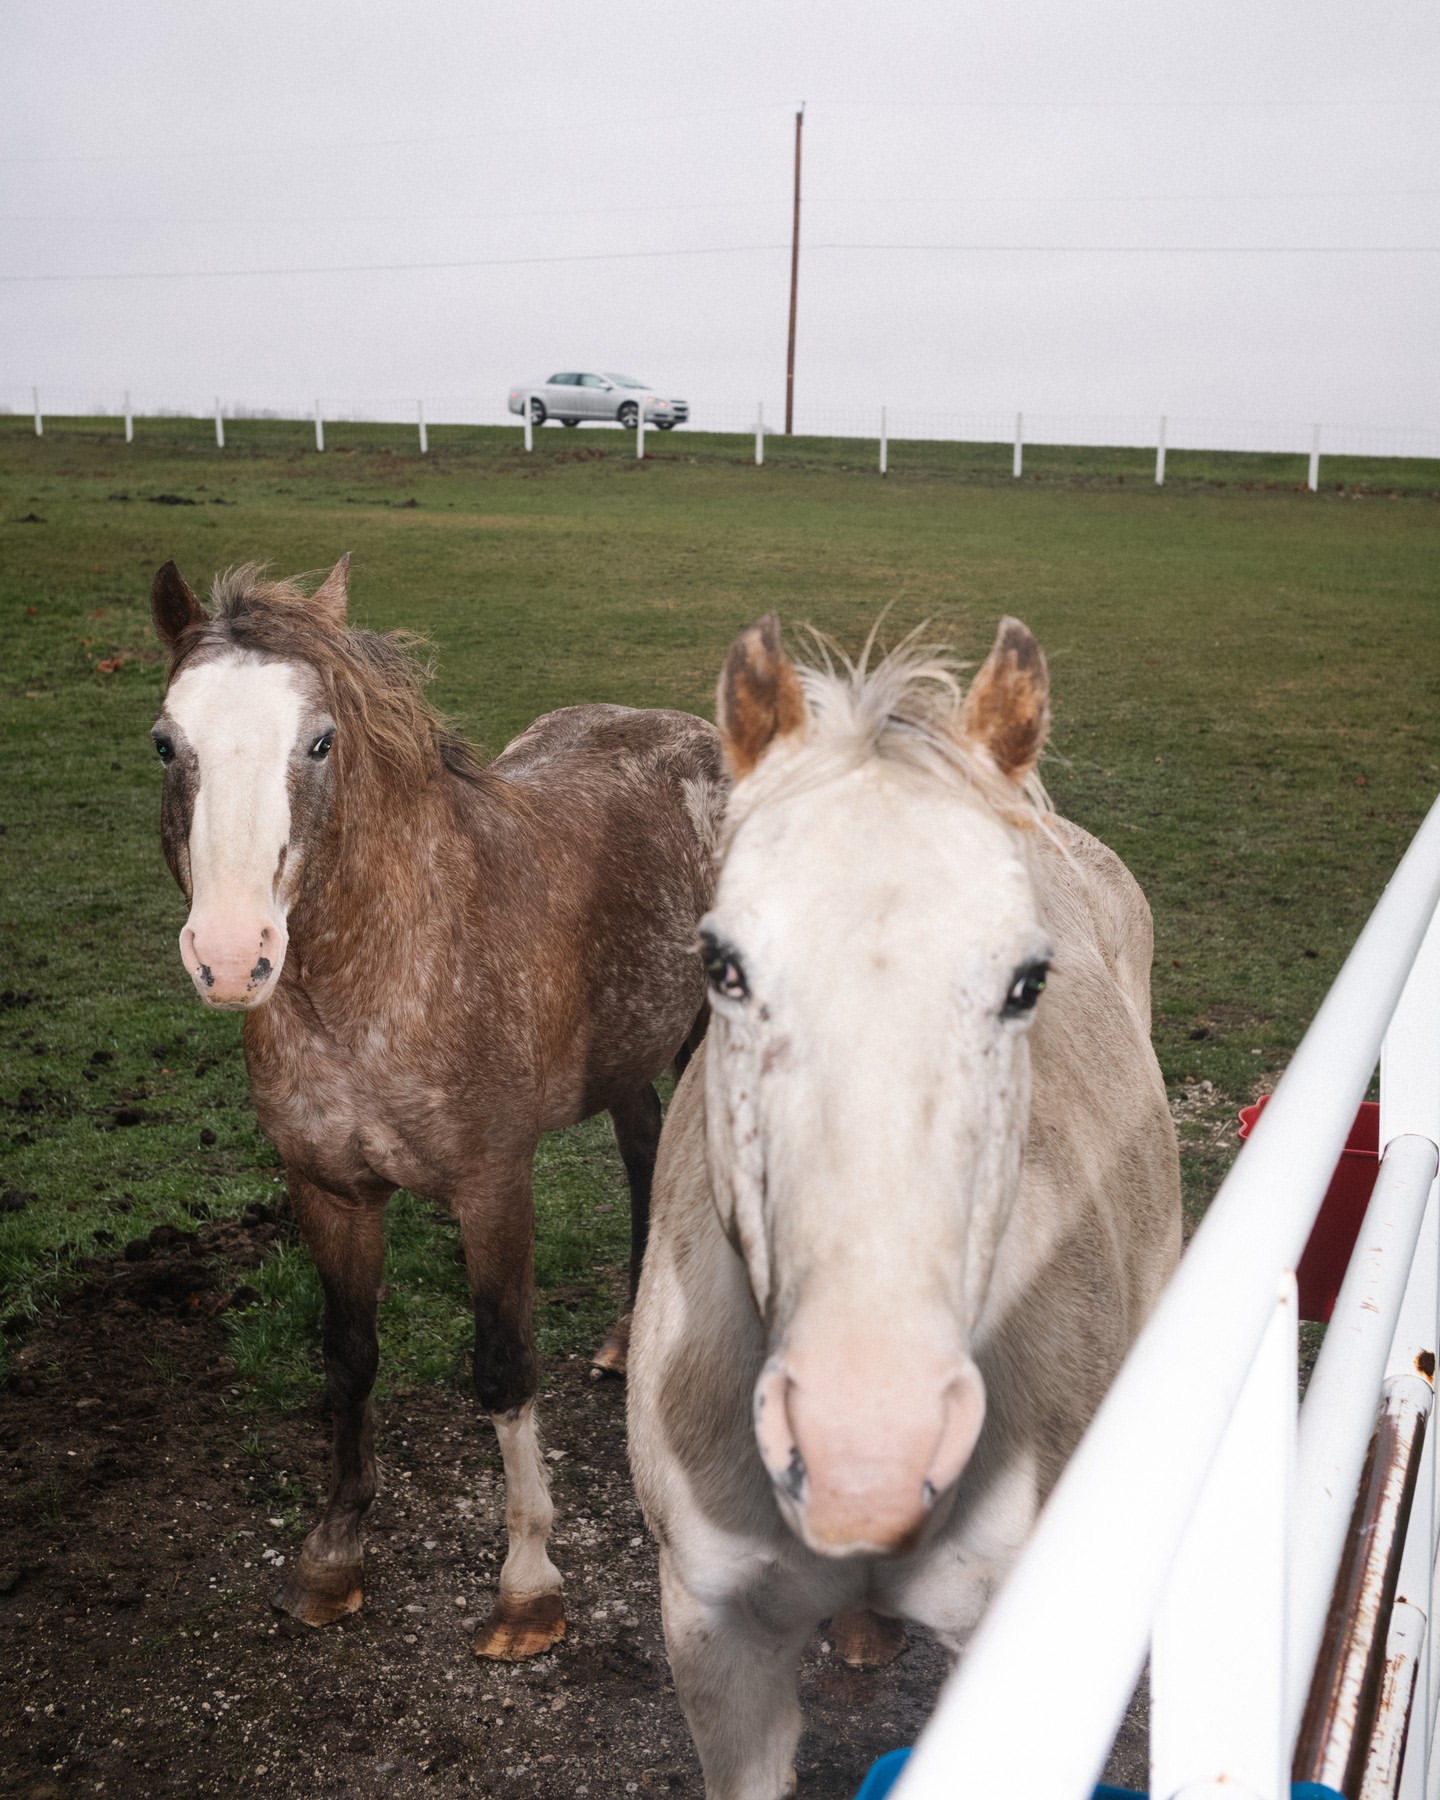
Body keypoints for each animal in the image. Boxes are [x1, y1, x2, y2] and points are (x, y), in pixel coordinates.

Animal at [149, 555, 726, 1660]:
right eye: (166, 740)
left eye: (321, 741)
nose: (231, 955)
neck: (377, 975)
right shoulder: (327, 1190)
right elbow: (348, 1358)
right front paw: (332, 1556)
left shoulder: (492, 1187)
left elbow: (503, 1370)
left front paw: (528, 1586)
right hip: (626, 1050)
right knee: (642, 1148)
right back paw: (625, 1338)